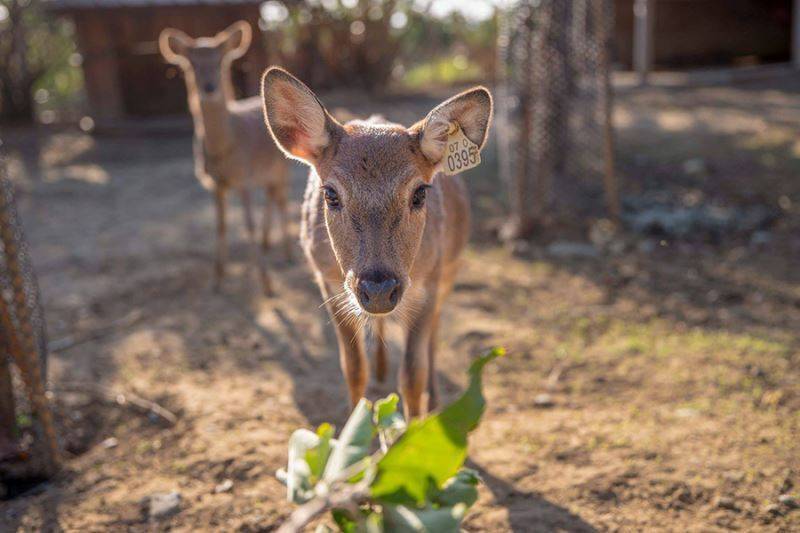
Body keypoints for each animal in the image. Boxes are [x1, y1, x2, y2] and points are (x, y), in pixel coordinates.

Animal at [158, 21, 292, 296]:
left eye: (220, 60)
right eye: (191, 64)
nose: (209, 87)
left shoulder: (243, 178)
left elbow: (248, 225)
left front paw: (267, 284)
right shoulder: (215, 183)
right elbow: (220, 226)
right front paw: (217, 280)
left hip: (281, 167)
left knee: (282, 200)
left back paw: (288, 253)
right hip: (266, 173)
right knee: (271, 197)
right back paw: (266, 243)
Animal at [262, 66, 490, 418]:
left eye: (420, 193)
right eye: (330, 193)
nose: (379, 288)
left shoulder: (430, 281)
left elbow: (412, 374)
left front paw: (412, 428)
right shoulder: (328, 281)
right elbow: (354, 368)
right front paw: (354, 427)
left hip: (450, 267)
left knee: (436, 333)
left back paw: (434, 401)